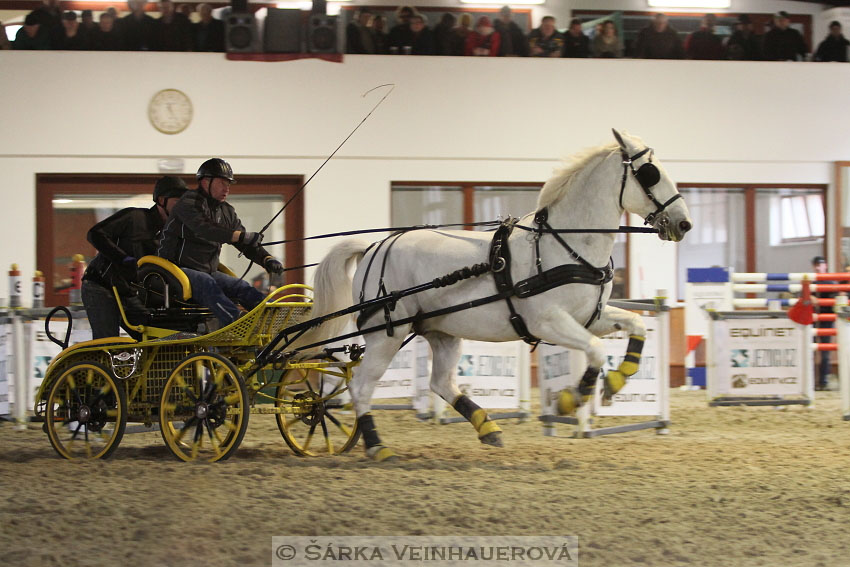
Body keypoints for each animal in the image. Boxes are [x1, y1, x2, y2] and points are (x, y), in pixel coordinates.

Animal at [306, 132, 688, 462]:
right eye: (649, 173)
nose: (683, 224)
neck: (567, 246)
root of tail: (374, 246)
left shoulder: (590, 317)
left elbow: (635, 324)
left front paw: (617, 379)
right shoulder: (549, 322)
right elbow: (594, 350)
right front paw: (572, 399)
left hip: (441, 332)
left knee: (441, 382)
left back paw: (486, 427)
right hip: (389, 334)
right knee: (361, 386)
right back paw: (376, 445)